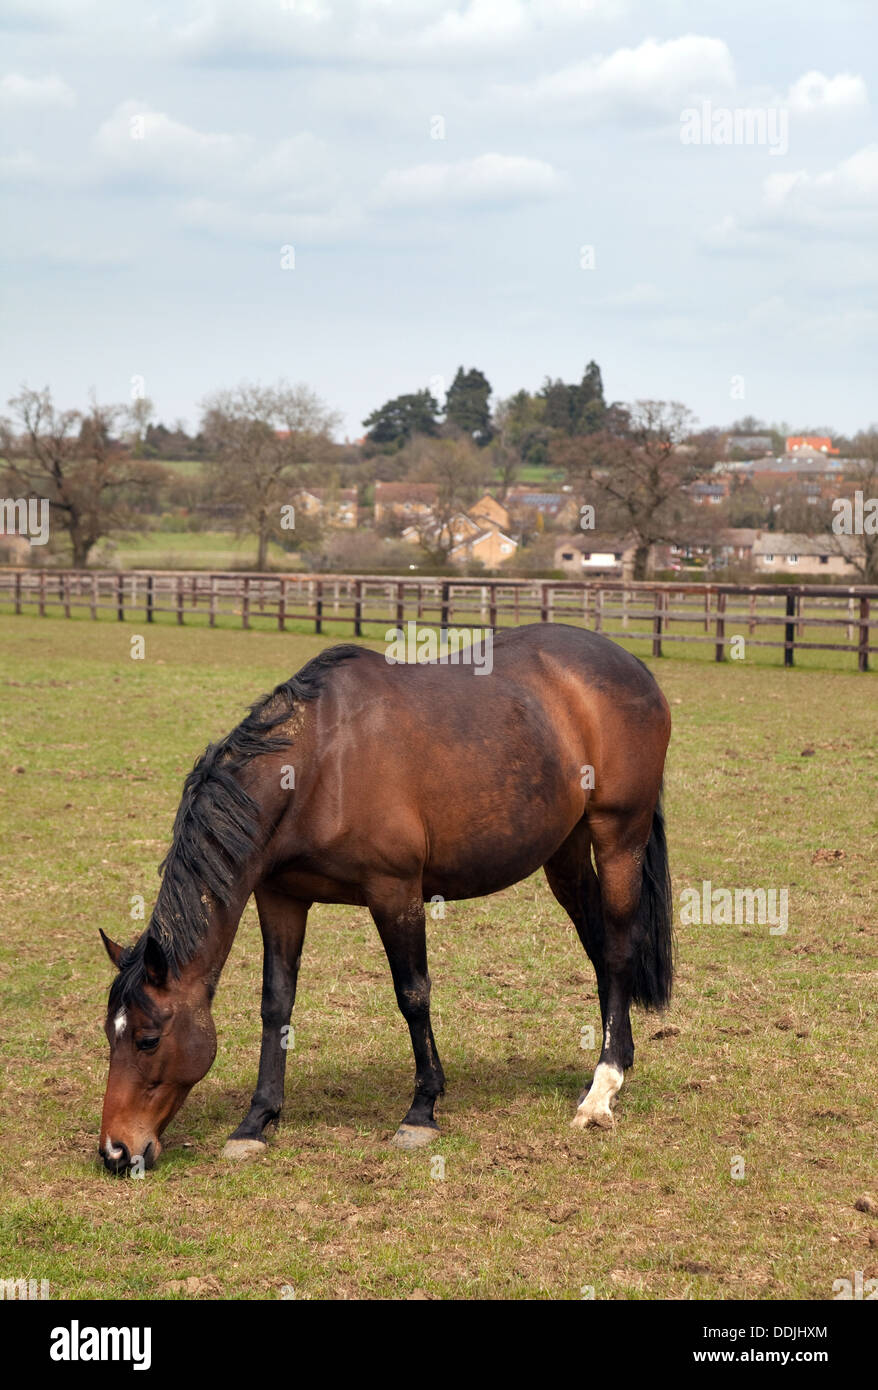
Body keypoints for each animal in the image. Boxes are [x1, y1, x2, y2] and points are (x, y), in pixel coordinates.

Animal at [97, 622, 672, 1173]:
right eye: (109, 1034)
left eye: (148, 1039)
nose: (116, 1151)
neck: (319, 765)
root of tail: (632, 665)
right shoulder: (280, 897)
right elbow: (275, 1003)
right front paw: (256, 1119)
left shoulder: (394, 891)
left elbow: (412, 995)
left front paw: (422, 1110)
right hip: (565, 852)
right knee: (598, 946)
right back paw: (616, 1061)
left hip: (619, 836)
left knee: (619, 950)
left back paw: (602, 1090)